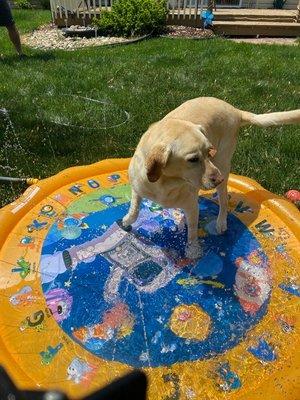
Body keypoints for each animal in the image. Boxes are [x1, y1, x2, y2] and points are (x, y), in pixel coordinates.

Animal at [122, 98, 300, 258]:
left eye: (209, 151)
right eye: (193, 159)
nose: (218, 178)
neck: (165, 182)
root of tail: (235, 110)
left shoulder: (192, 206)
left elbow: (192, 232)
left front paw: (192, 250)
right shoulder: (137, 188)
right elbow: (135, 210)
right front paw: (126, 221)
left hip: (223, 165)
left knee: (223, 201)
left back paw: (221, 221)